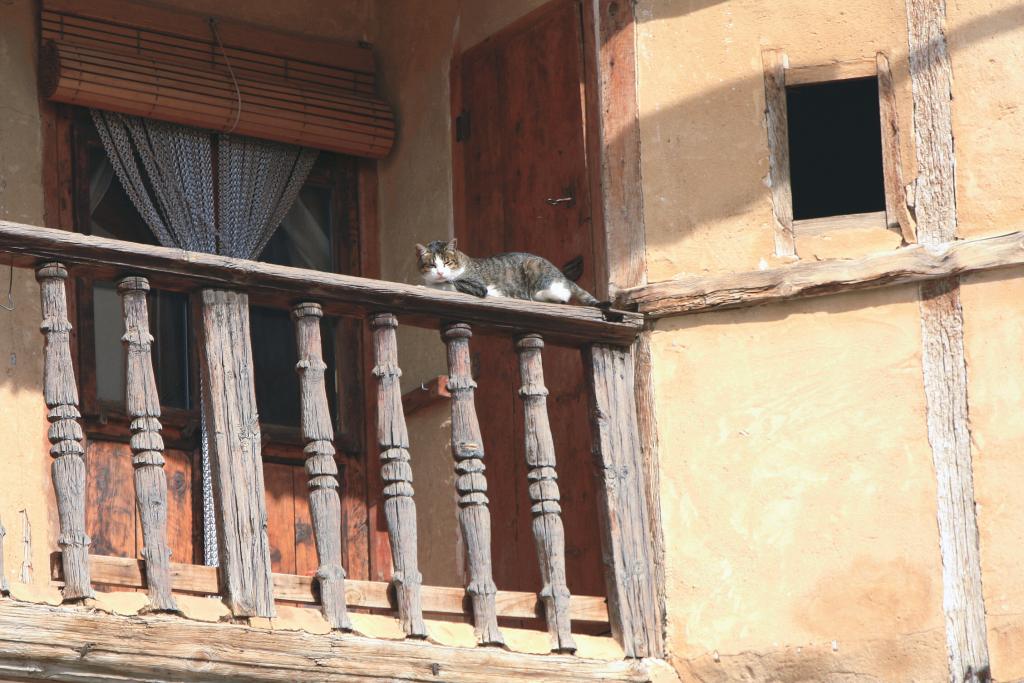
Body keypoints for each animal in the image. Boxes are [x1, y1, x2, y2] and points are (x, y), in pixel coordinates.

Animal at [415, 239, 602, 305]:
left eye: (447, 262)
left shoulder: (477, 286)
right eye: (432, 265)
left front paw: (427, 287)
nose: (440, 273)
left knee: (563, 293)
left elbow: (452, 284)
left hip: (535, 267)